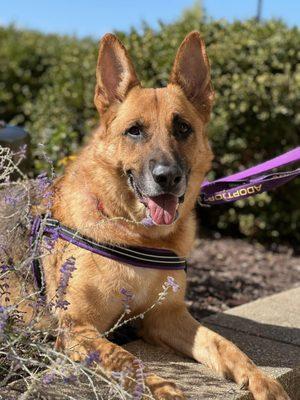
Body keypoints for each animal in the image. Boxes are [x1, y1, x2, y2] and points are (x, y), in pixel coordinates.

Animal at [5, 32, 290, 400]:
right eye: (134, 131)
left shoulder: (166, 317)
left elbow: (224, 345)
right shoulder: (79, 328)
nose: (167, 177)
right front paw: (166, 390)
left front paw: (260, 379)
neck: (137, 234)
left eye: (182, 128)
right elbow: (130, 362)